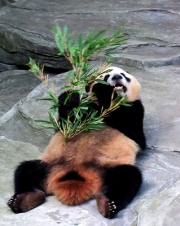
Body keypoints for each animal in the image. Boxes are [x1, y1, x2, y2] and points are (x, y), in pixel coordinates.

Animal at [8, 66, 146, 218]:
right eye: (106, 75)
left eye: (123, 75)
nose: (116, 77)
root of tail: (76, 178)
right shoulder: (85, 109)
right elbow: (65, 124)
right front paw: (69, 98)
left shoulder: (135, 110)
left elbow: (136, 135)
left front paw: (103, 90)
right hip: (50, 165)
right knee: (26, 170)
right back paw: (24, 200)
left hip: (108, 168)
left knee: (127, 177)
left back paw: (108, 204)